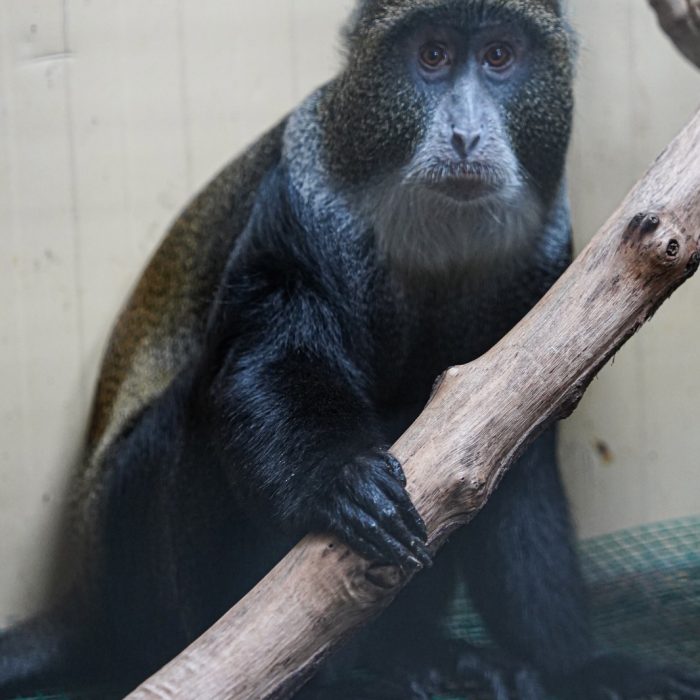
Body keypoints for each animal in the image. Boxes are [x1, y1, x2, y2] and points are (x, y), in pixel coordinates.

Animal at [1, 1, 700, 699]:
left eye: (499, 56)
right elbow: (264, 360)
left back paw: (419, 654)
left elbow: (512, 467)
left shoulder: (543, 265)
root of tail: (90, 608)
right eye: (433, 55)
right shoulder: (301, 206)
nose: (465, 136)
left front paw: (582, 666)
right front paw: (342, 480)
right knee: (191, 412)